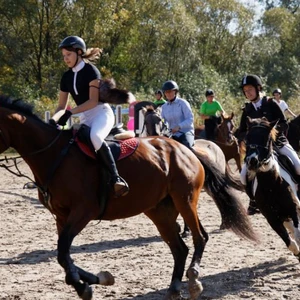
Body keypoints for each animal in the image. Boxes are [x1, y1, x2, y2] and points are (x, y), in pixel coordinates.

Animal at [0, 95, 255, 300]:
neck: (55, 155)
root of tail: (186, 150)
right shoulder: (61, 217)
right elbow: (64, 257)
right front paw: (97, 280)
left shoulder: (83, 212)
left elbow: (63, 254)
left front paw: (86, 286)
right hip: (159, 210)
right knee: (179, 248)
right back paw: (174, 287)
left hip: (185, 200)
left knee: (199, 237)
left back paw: (193, 280)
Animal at [244, 116, 300, 260]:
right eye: (247, 137)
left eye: (266, 138)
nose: (252, 161)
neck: (271, 184)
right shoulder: (273, 219)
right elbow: (291, 243)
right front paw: (298, 254)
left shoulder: (295, 208)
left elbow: (298, 235)